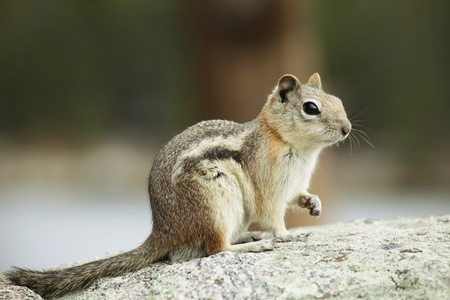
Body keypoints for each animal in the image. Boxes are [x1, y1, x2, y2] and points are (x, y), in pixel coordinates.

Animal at [3, 72, 352, 298]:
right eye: (311, 108)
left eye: (338, 100)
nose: (347, 128)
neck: (296, 147)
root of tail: (163, 232)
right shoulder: (268, 187)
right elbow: (273, 217)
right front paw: (287, 236)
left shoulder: (293, 185)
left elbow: (298, 197)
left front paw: (313, 204)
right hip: (215, 203)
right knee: (215, 249)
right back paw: (254, 244)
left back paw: (250, 236)